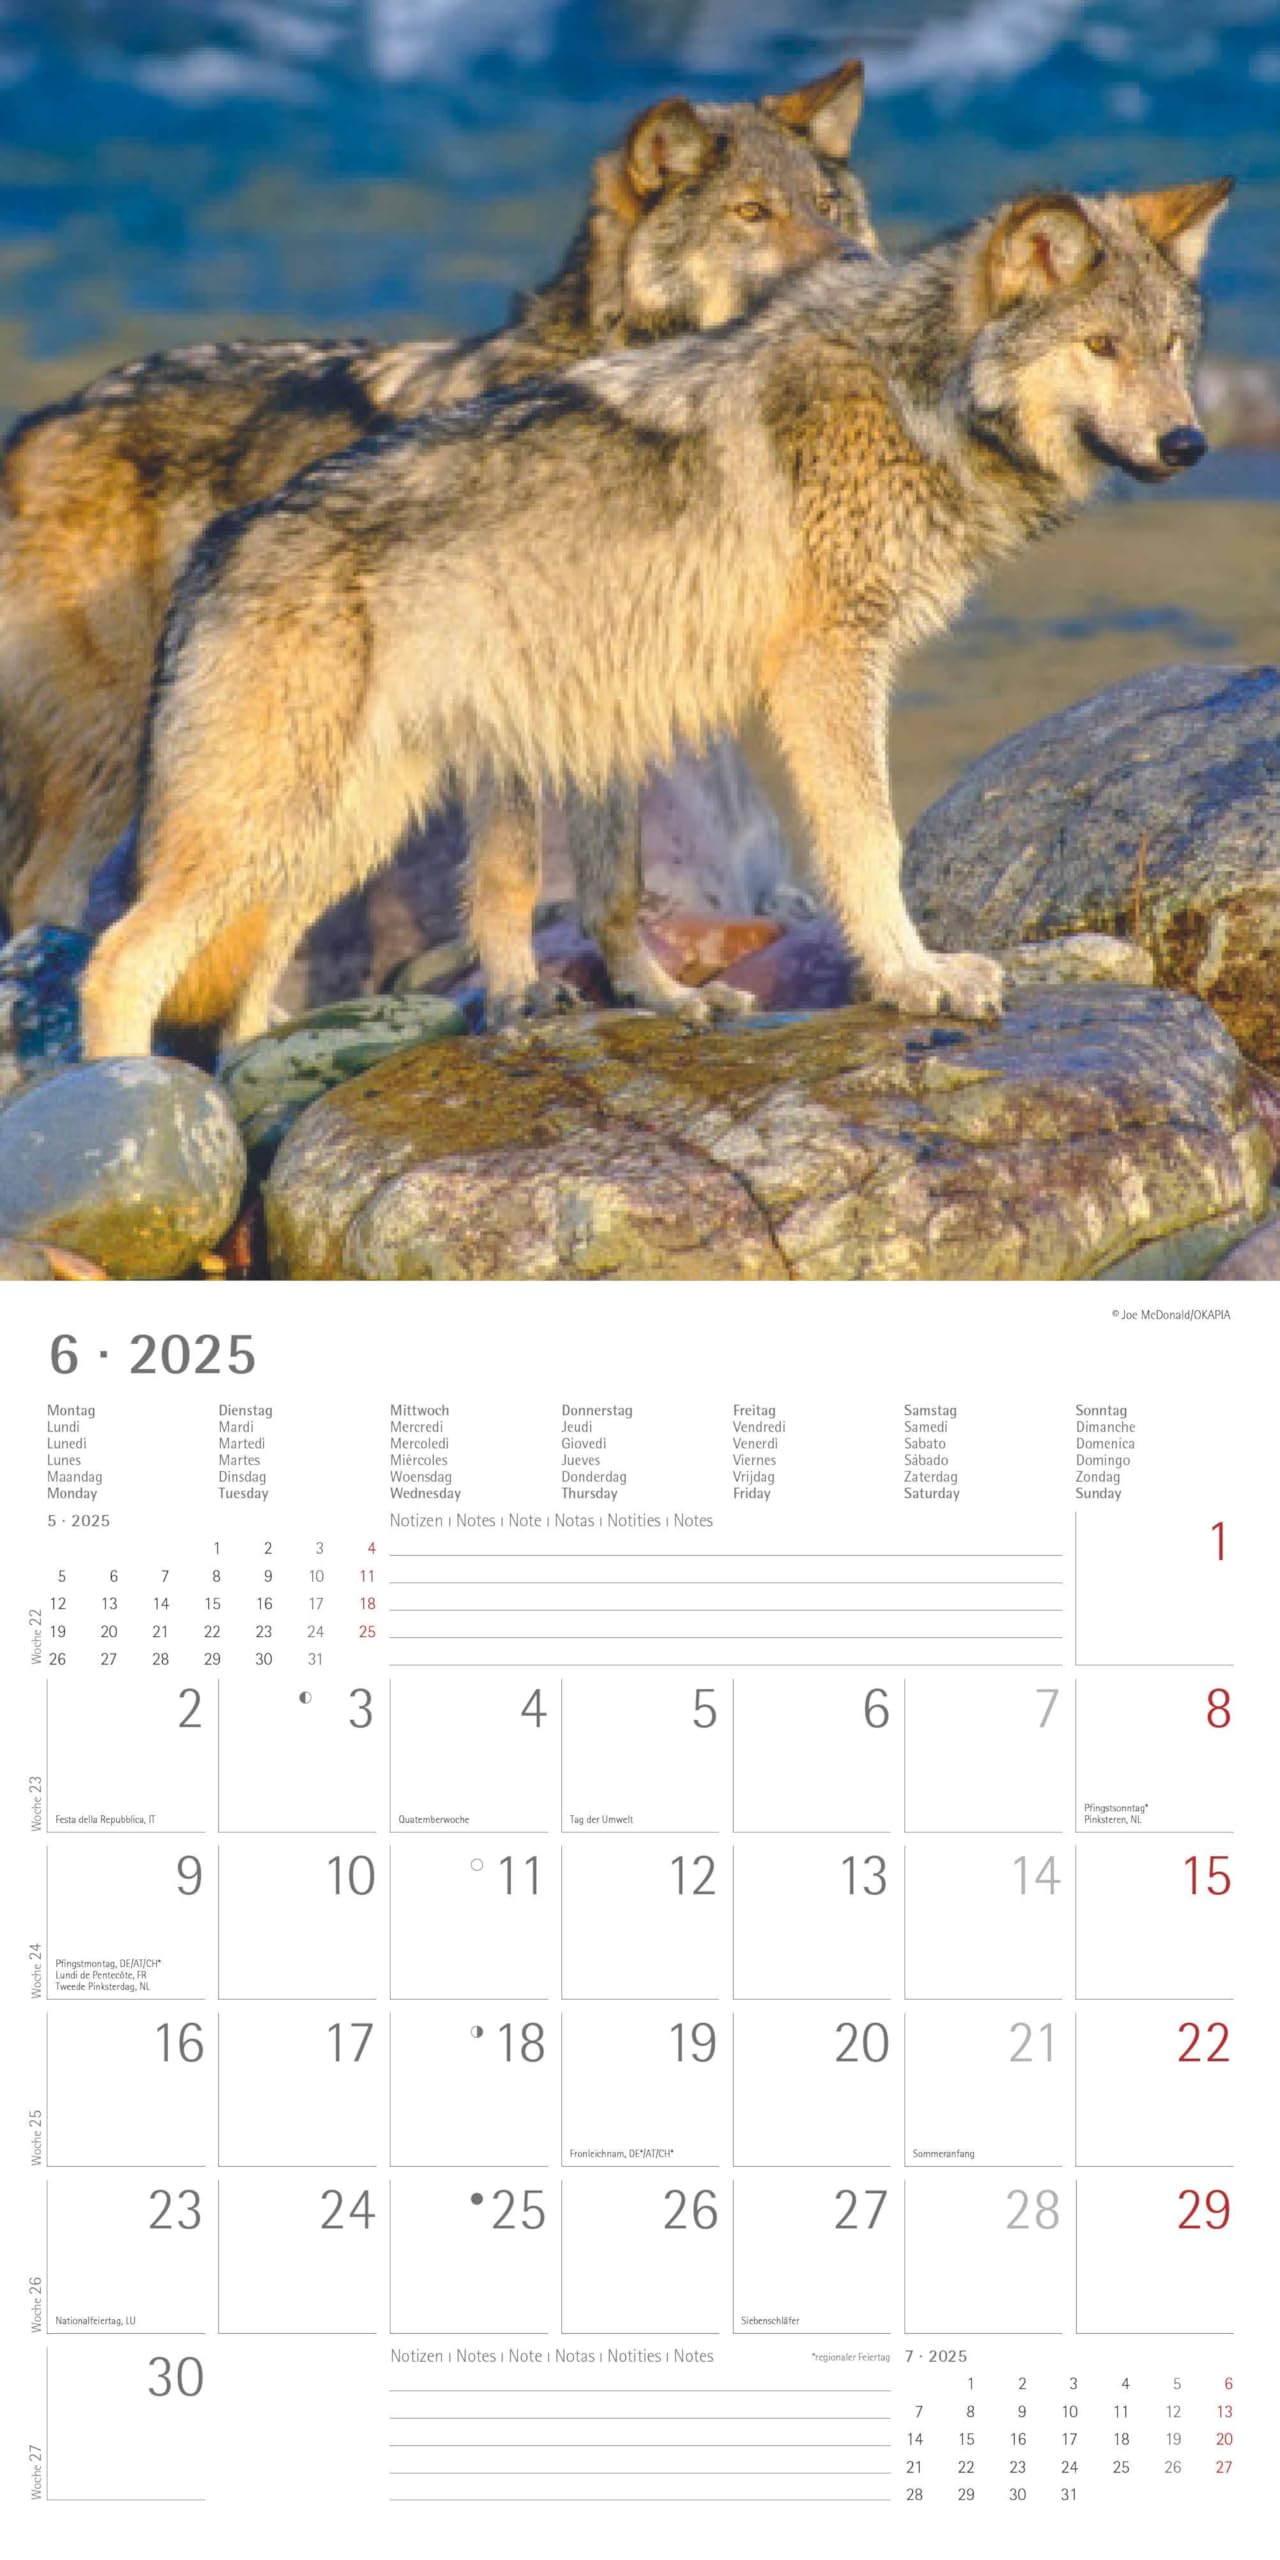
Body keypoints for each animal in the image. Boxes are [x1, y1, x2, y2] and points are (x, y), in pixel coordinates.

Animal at [0, 62, 874, 1024]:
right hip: (128, 755)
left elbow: (617, 880)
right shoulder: (516, 704)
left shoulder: (598, 709)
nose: (858, 261)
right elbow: (514, 872)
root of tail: (40, 423)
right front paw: (522, 997)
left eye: (828, 203)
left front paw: (658, 994)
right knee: (51, 893)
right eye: (752, 212)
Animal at [78, 178, 1231, 1063]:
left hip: (340, 827)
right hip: (275, 818)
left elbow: (623, 894)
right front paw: (914, 978)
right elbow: (868, 842)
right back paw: (127, 1102)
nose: (1187, 445)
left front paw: (678, 998)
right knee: (117, 962)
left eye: (1172, 347)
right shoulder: (826, 669)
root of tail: (216, 551)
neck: (919, 394)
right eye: (1100, 345)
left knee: (244, 979)